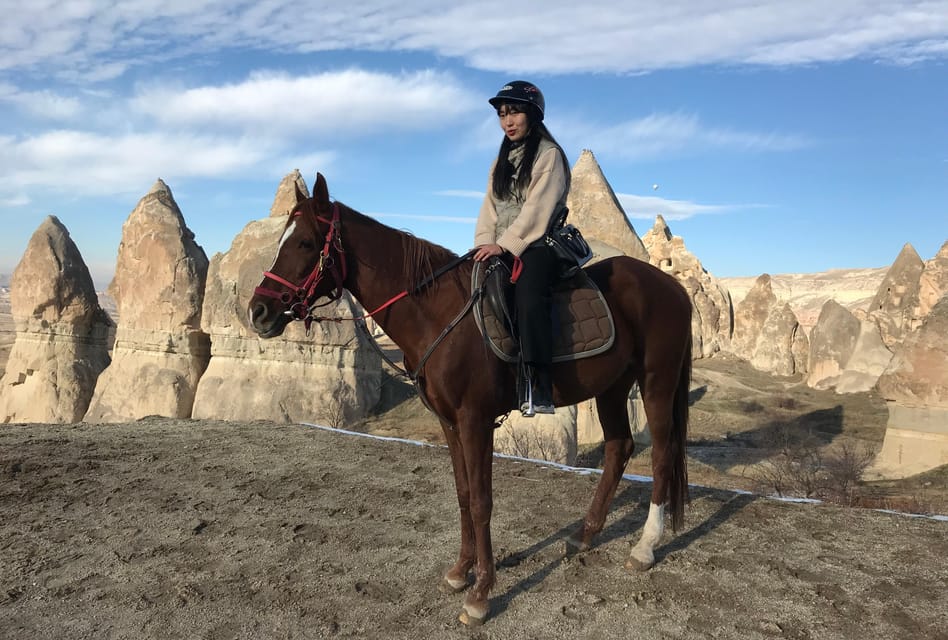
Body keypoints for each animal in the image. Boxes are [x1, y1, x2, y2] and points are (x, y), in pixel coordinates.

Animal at [248, 174, 692, 624]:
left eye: (305, 242)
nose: (258, 311)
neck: (439, 315)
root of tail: (673, 287)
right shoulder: (449, 422)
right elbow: (463, 495)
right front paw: (462, 571)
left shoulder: (475, 419)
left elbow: (481, 501)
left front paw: (481, 592)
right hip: (612, 387)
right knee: (619, 447)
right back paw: (585, 533)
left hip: (656, 383)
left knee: (661, 454)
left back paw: (644, 547)